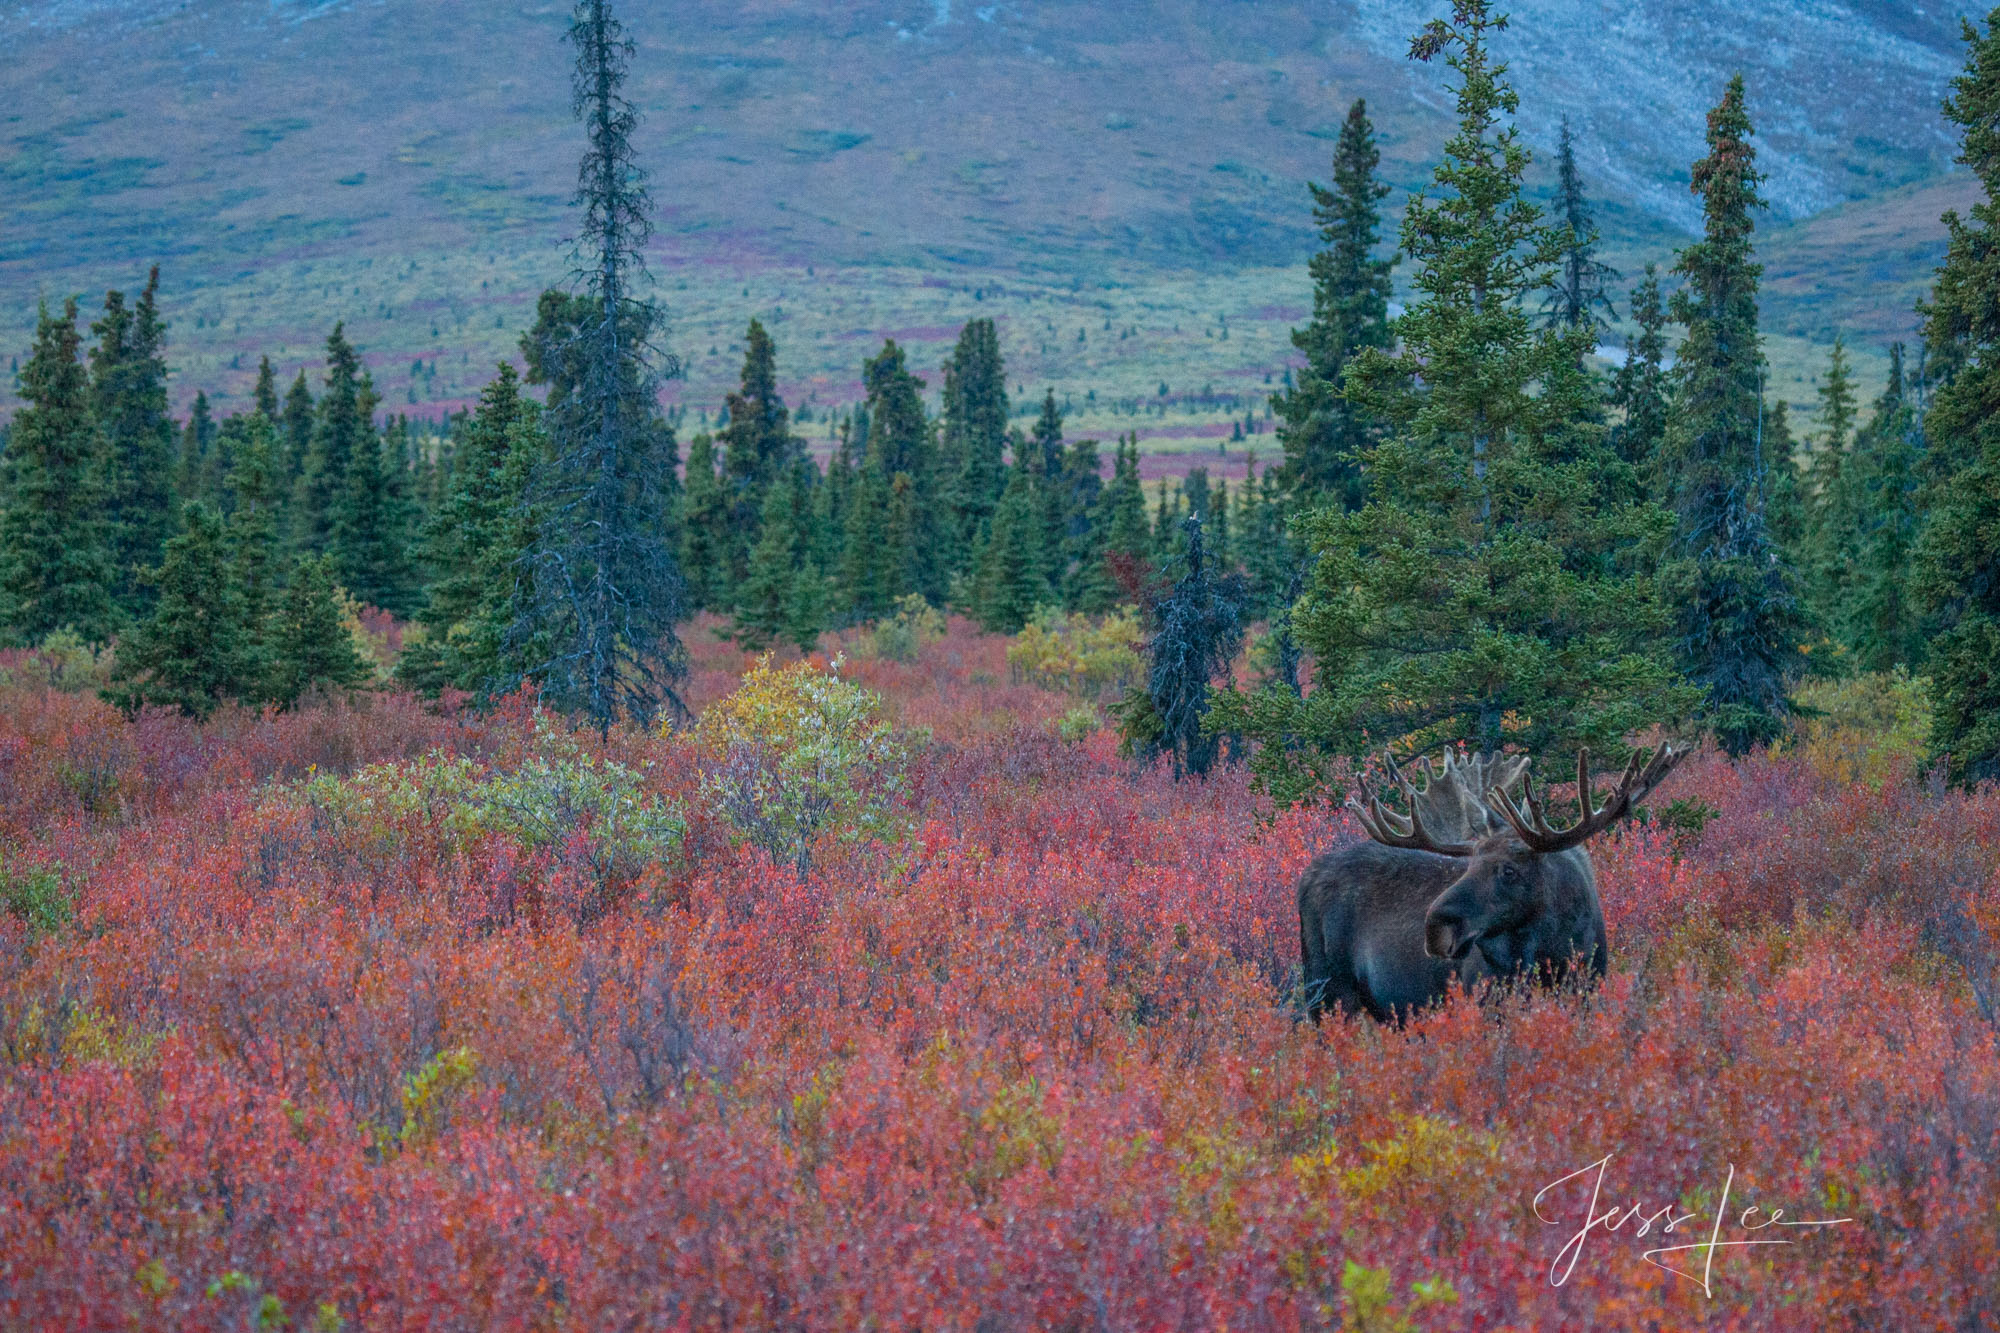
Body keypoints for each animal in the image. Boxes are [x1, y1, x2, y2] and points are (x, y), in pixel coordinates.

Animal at [1296, 736, 1688, 1016]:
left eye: (1509, 870)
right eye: (1469, 865)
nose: (1435, 927)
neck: (1558, 948)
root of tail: (1306, 877)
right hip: (1327, 991)